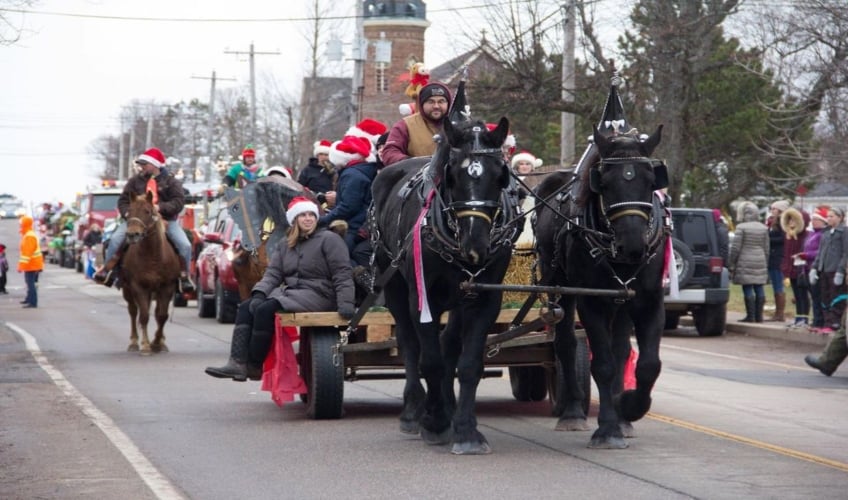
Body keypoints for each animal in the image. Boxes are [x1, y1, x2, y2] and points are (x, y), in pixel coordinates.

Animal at [121, 190, 181, 352]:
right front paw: (146, 345)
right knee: (133, 311)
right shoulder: (138, 287)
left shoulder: (167, 287)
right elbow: (143, 316)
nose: (132, 235)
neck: (153, 256)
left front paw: (157, 342)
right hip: (128, 289)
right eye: (129, 212)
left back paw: (161, 342)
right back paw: (134, 342)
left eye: (147, 211)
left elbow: (162, 315)